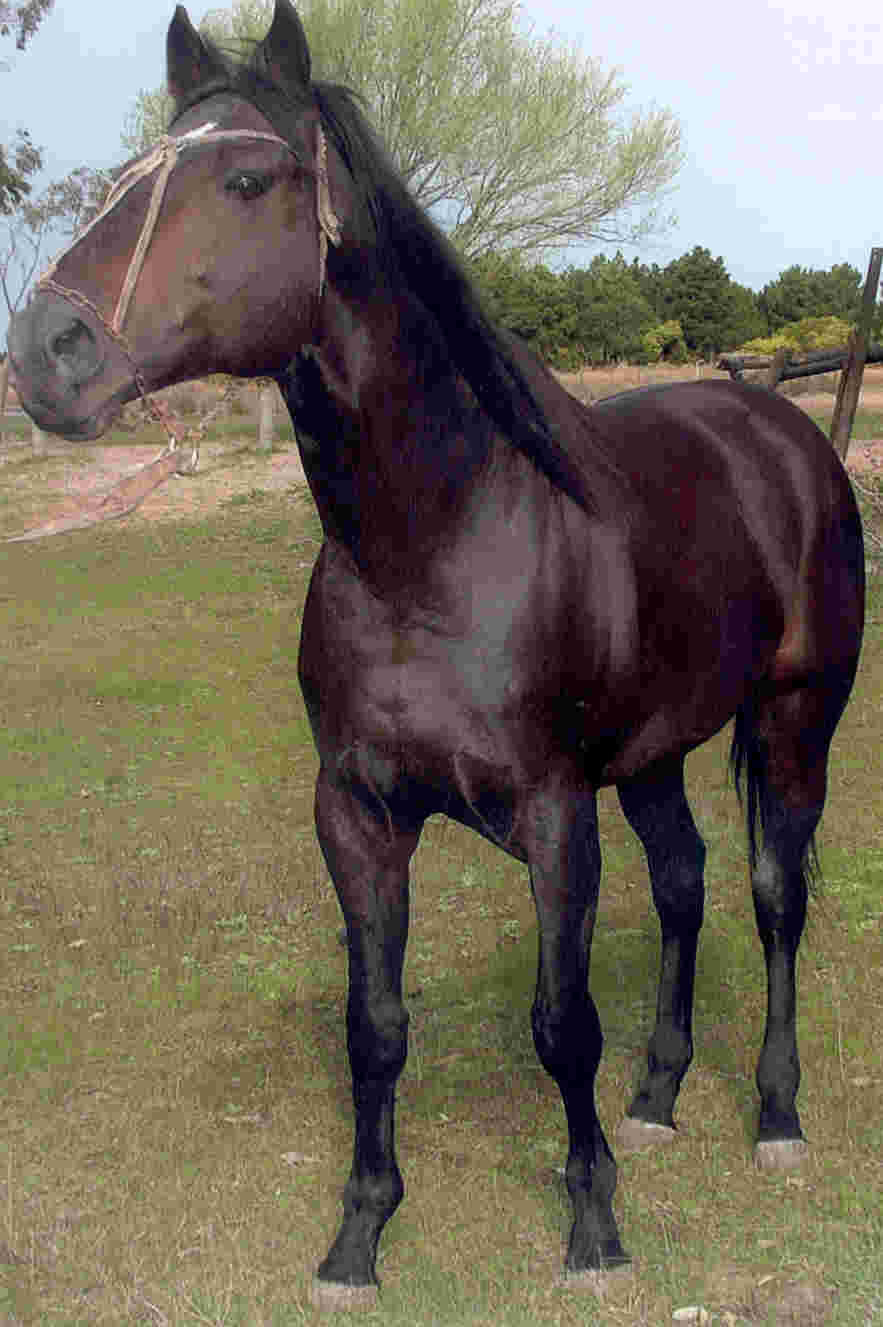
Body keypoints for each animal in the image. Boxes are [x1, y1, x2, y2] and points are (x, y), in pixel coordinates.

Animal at [8, 0, 865, 1305]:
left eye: (247, 179)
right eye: (118, 181)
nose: (46, 352)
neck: (441, 543)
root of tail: (785, 432)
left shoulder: (555, 816)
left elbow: (561, 1021)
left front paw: (593, 1229)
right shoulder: (357, 813)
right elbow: (375, 1025)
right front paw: (357, 1238)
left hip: (793, 720)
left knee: (774, 898)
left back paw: (773, 1118)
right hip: (655, 756)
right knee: (683, 884)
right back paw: (660, 1097)